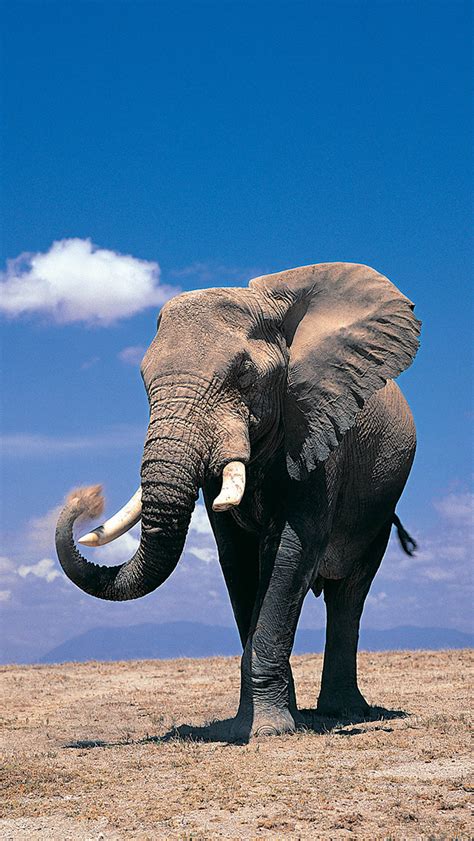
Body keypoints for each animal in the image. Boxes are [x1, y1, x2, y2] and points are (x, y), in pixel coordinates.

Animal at [56, 262, 420, 740]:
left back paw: (344, 712)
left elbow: (289, 552)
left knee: (349, 593)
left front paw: (269, 731)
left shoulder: (318, 430)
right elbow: (238, 560)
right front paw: (250, 726)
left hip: (379, 503)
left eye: (245, 376)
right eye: (143, 379)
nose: (87, 498)